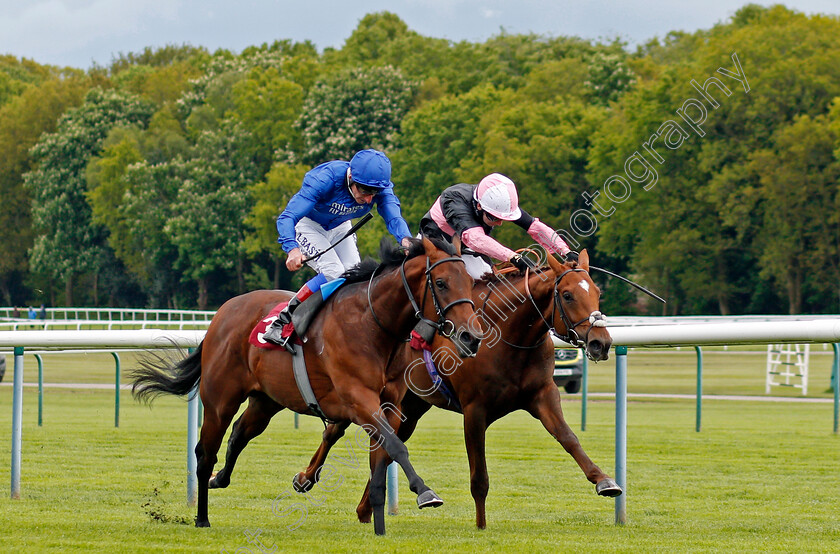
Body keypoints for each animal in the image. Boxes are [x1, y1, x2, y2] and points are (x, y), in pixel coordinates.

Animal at [129, 235, 482, 532]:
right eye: (440, 283)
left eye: (470, 281)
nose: (471, 337)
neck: (372, 323)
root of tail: (222, 312)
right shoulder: (358, 398)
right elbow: (396, 446)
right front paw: (425, 492)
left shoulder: (391, 403)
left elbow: (384, 452)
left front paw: (375, 517)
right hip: (220, 400)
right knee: (205, 453)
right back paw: (202, 516)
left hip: (267, 399)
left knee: (241, 432)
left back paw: (221, 480)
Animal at [292, 249, 620, 528]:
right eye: (567, 295)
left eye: (597, 292)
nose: (600, 343)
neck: (509, 333)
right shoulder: (475, 410)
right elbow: (479, 477)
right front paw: (481, 525)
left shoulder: (542, 395)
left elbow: (568, 437)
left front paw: (604, 481)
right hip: (362, 390)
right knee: (334, 431)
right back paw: (305, 478)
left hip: (410, 406)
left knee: (388, 443)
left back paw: (364, 509)